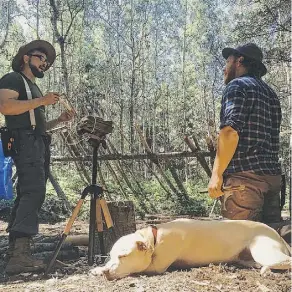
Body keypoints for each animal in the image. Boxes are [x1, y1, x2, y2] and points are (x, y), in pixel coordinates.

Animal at [90, 219, 290, 280]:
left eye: (123, 256)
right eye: (111, 256)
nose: (107, 272)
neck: (155, 237)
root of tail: (276, 234)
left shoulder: (156, 267)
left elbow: (136, 269)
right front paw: (98, 269)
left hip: (262, 249)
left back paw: (266, 268)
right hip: (245, 256)